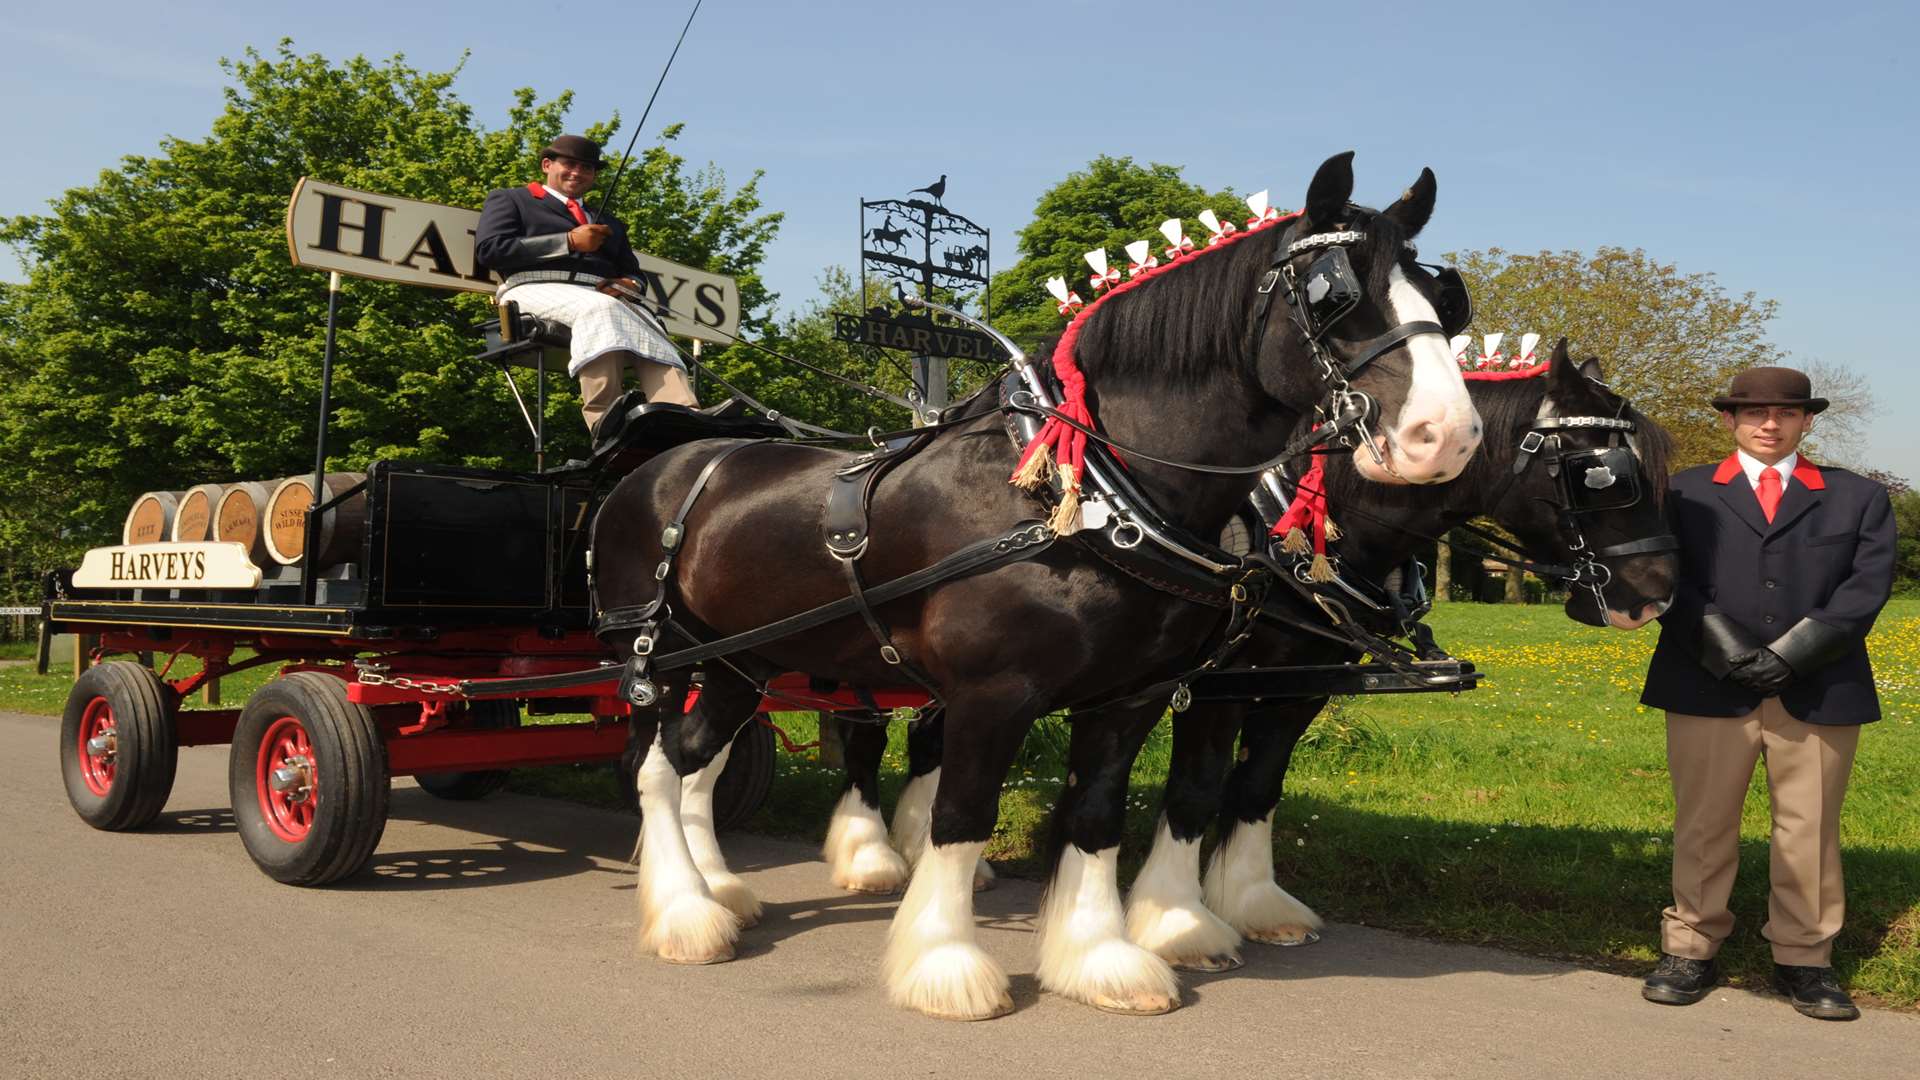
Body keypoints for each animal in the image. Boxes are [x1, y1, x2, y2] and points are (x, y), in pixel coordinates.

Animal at [591, 153, 1474, 1014]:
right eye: (1335, 294)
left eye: (1442, 299)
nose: (1447, 435)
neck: (1087, 493)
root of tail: (654, 467)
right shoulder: (995, 692)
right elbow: (961, 815)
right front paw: (945, 964)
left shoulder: (1131, 696)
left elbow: (1096, 814)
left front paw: (1098, 958)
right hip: (652, 655)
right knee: (655, 767)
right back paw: (683, 911)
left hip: (737, 663)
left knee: (691, 761)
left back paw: (715, 893)